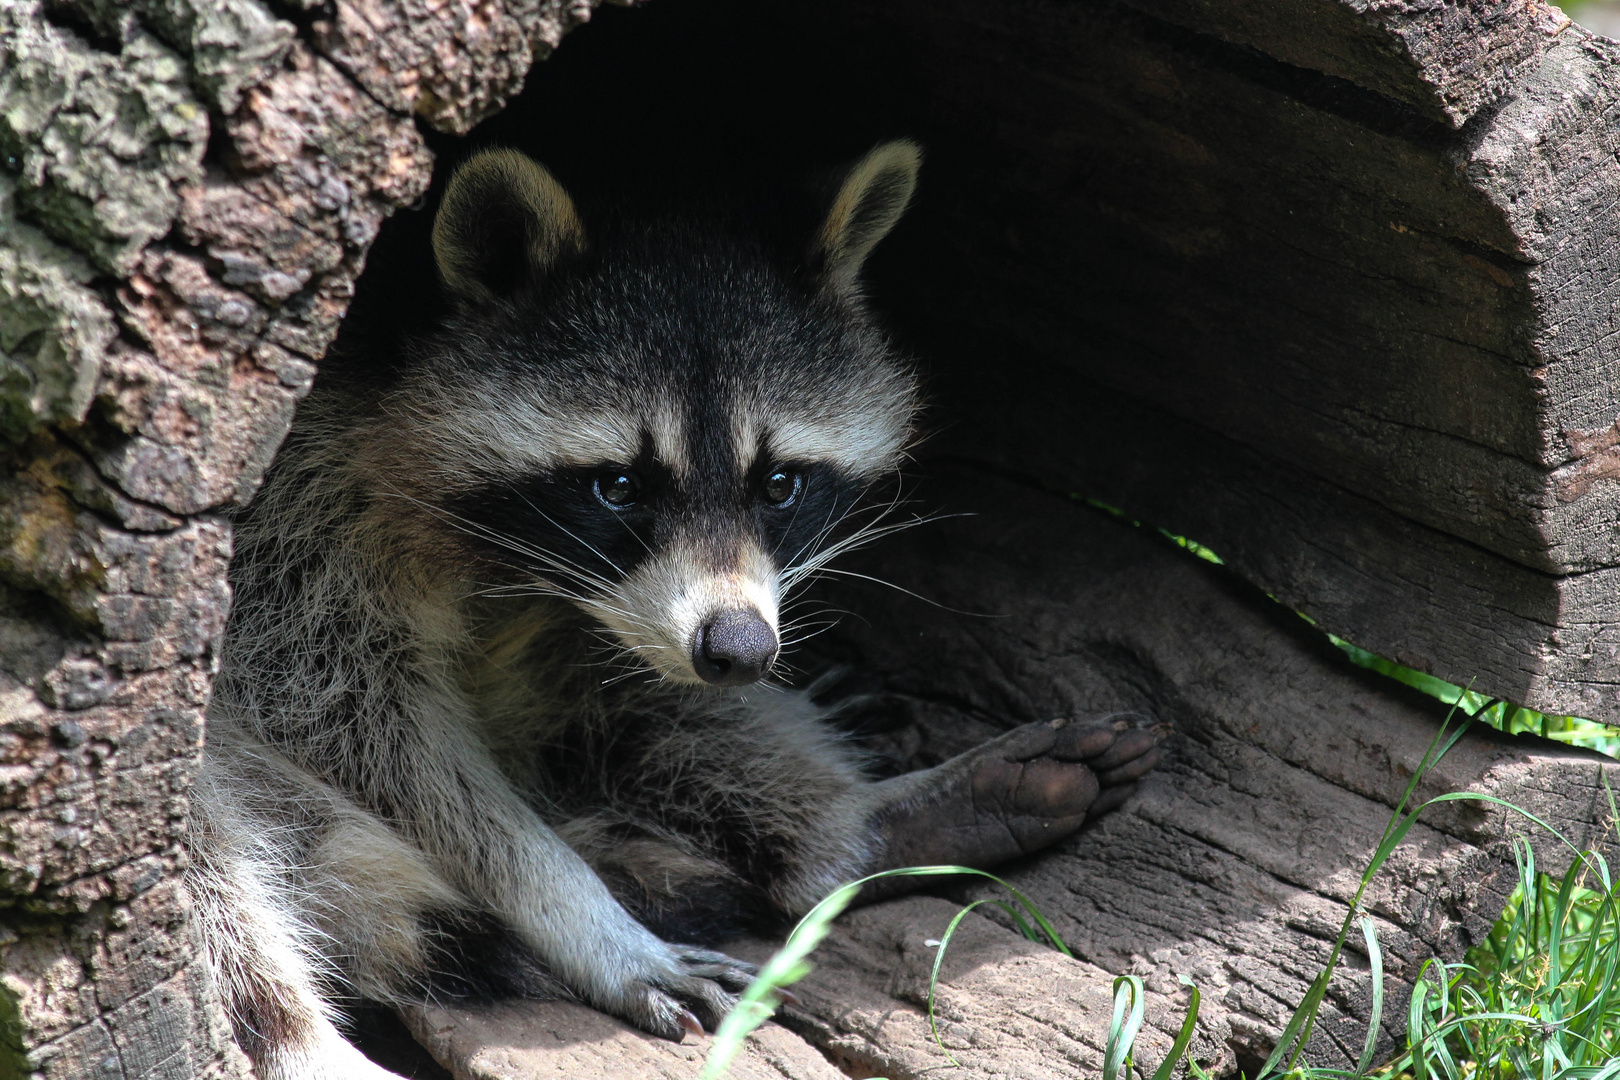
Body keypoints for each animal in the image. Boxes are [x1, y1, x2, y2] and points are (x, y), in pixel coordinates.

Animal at [189, 143, 1159, 1080]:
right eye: (618, 486)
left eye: (780, 483)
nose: (742, 649)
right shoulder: (295, 533)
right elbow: (370, 733)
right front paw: (572, 907)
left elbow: (644, 694)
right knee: (212, 863)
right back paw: (296, 1036)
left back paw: (849, 831)